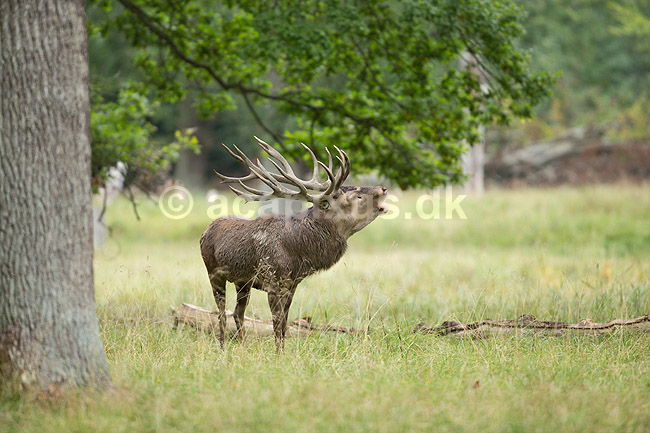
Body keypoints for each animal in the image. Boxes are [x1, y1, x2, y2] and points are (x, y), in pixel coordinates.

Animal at [200, 136, 387, 352]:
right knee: (222, 314)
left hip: (243, 282)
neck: (298, 251)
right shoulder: (272, 280)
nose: (383, 188)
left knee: (238, 313)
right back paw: (223, 348)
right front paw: (277, 354)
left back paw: (243, 346)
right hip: (213, 272)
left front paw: (282, 352)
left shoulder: (292, 284)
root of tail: (205, 231)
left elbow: (284, 325)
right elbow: (276, 324)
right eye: (355, 196)